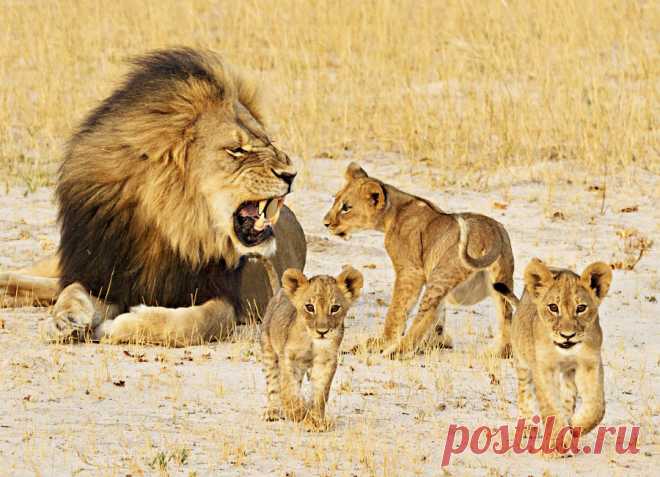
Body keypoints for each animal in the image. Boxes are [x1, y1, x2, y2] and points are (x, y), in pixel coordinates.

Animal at [0, 48, 306, 346]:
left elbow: (191, 323)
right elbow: (72, 291)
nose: (291, 174)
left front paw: (117, 327)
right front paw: (66, 319)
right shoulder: (101, 273)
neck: (168, 225)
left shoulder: (225, 300)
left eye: (267, 141)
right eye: (237, 149)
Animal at [260, 266, 363, 431]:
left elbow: (320, 393)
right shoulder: (288, 357)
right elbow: (288, 387)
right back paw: (273, 411)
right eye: (310, 307)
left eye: (335, 308)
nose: (322, 331)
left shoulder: (326, 361)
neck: (312, 342)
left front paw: (315, 420)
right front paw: (297, 412)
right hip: (268, 350)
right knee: (273, 384)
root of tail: (279, 291)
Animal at [323, 162, 514, 358]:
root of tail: (490, 232)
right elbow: (440, 317)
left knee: (425, 315)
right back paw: (499, 352)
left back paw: (395, 352)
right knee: (506, 315)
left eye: (346, 207)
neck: (392, 212)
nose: (325, 223)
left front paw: (382, 343)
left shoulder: (410, 272)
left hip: (442, 274)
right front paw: (437, 343)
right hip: (501, 280)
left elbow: (397, 309)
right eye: (335, 200)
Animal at [493, 258, 612, 452]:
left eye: (581, 308)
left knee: (568, 398)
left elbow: (597, 407)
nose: (567, 335)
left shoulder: (590, 364)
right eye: (553, 307)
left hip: (569, 374)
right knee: (524, 393)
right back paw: (528, 427)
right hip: (522, 362)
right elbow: (550, 405)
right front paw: (558, 441)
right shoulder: (543, 367)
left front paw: (576, 426)